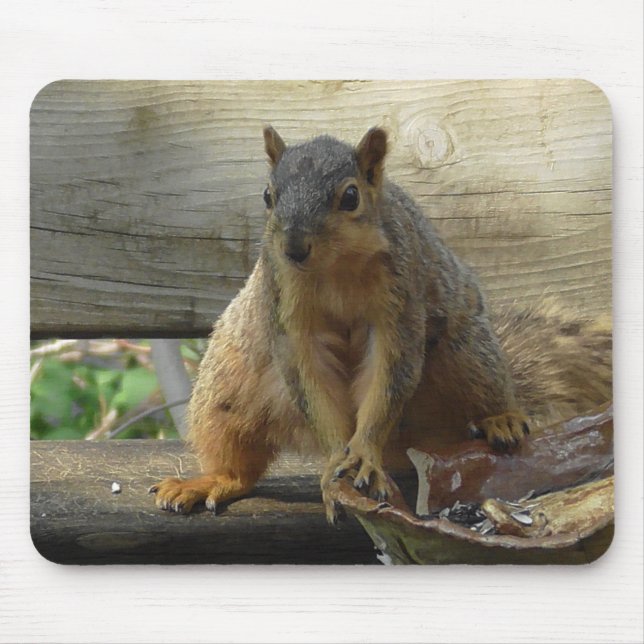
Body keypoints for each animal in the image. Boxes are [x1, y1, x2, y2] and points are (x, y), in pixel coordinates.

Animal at [150, 126, 612, 523]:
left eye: (351, 197)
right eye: (268, 195)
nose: (295, 247)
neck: (335, 267)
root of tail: (408, 444)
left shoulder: (399, 303)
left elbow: (387, 375)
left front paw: (363, 454)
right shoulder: (288, 312)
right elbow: (311, 380)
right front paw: (338, 461)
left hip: (464, 353)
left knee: (484, 389)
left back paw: (501, 418)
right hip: (230, 389)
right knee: (238, 461)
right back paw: (211, 480)